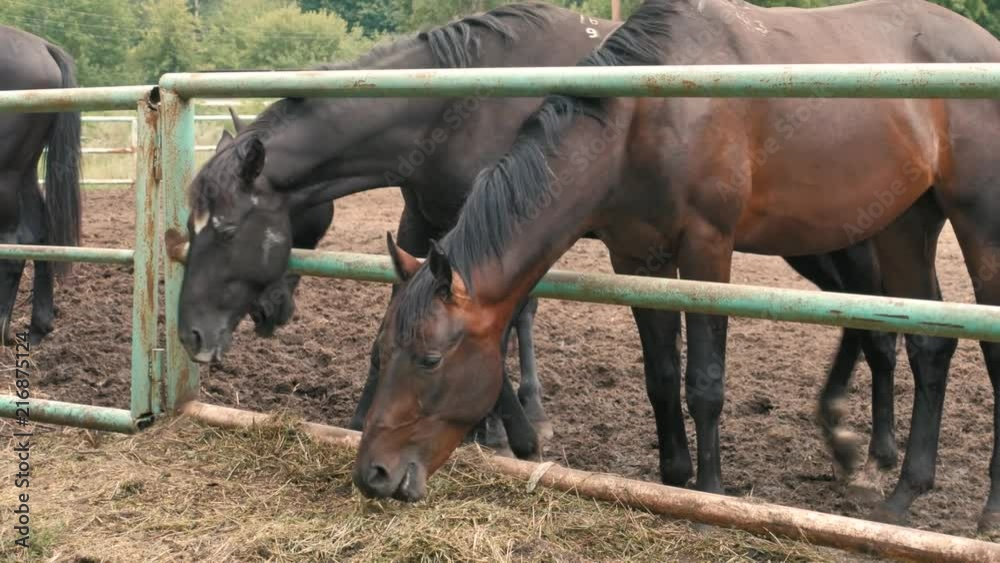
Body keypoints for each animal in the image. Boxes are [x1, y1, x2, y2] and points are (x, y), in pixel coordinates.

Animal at [0, 25, 82, 345]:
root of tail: (44, 48)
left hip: (7, 173)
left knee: (13, 245)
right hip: (25, 170)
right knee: (40, 232)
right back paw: (39, 325)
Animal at [180, 3, 901, 485]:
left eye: (224, 226)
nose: (191, 334)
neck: (456, 101)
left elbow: (503, 323)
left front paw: (517, 428)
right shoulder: (426, 220)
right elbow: (408, 309)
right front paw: (374, 413)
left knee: (878, 316)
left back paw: (876, 446)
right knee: (862, 317)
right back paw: (853, 438)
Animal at [352, 0, 1000, 534]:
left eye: (430, 359)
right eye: (380, 350)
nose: (373, 474)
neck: (649, 111)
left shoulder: (707, 250)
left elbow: (704, 383)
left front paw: (709, 496)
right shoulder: (637, 257)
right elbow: (661, 377)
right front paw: (672, 479)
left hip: (976, 228)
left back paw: (984, 510)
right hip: (905, 225)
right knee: (929, 344)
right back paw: (903, 493)